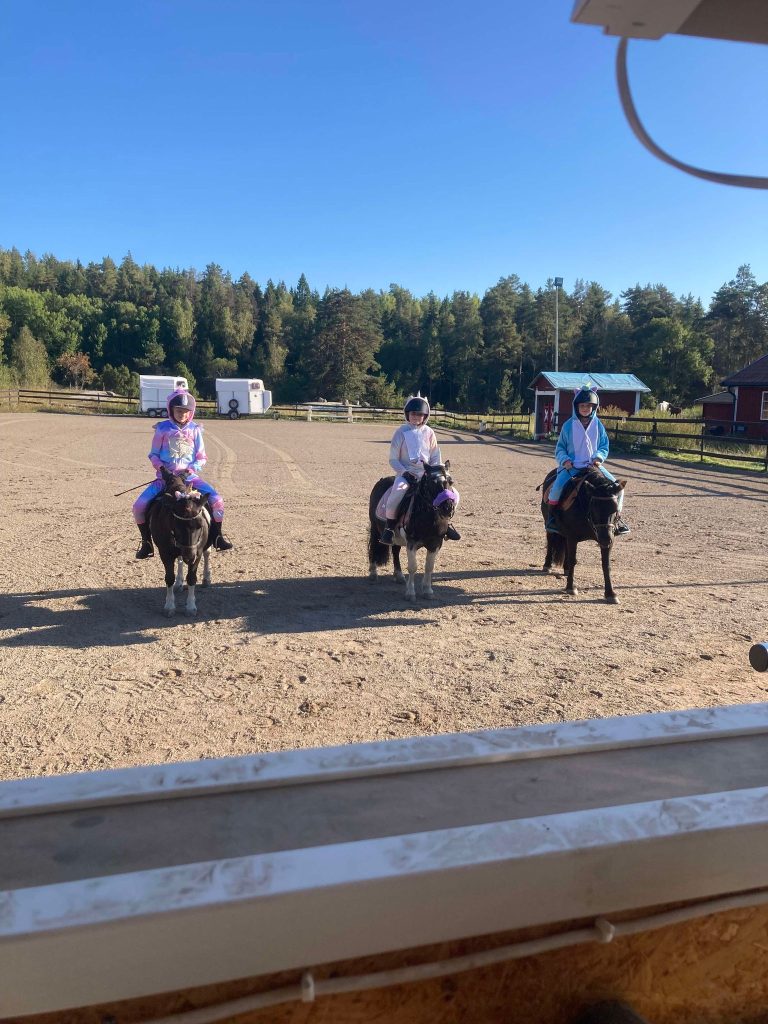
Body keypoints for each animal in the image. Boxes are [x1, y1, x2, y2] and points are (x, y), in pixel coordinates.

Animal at [148, 467, 212, 617]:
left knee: (207, 553)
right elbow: (169, 577)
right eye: (176, 526)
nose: (190, 556)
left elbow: (192, 577)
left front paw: (191, 607)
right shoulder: (165, 553)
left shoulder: (197, 552)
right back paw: (178, 582)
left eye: (200, 526)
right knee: (180, 559)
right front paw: (170, 606)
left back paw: (206, 578)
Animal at [368, 461, 458, 601]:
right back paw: (373, 572)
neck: (428, 517)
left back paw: (399, 575)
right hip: (375, 528)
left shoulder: (436, 543)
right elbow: (412, 567)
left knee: (395, 551)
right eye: (432, 482)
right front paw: (410, 593)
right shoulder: (412, 542)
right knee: (374, 545)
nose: (448, 507)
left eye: (451, 481)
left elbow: (429, 567)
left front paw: (428, 591)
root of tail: (383, 480)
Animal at [539, 466, 626, 604]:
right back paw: (547, 565)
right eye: (594, 507)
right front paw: (571, 587)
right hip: (549, 526)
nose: (605, 539)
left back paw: (566, 569)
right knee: (550, 541)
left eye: (615, 508)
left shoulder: (607, 538)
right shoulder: (572, 537)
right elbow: (573, 560)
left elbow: (606, 565)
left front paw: (610, 594)